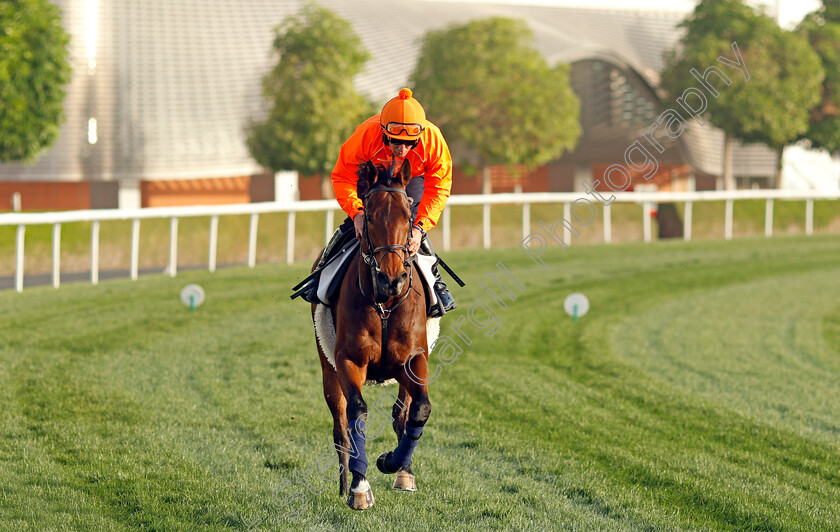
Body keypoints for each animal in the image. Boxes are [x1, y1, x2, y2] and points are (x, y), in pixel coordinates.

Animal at [312, 159, 436, 512]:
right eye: (368, 216)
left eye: (408, 216)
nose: (391, 279)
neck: (384, 303)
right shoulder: (349, 361)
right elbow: (357, 413)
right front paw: (358, 487)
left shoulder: (413, 360)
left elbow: (418, 410)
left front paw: (392, 464)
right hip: (327, 367)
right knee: (340, 425)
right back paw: (344, 483)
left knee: (403, 413)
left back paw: (404, 471)